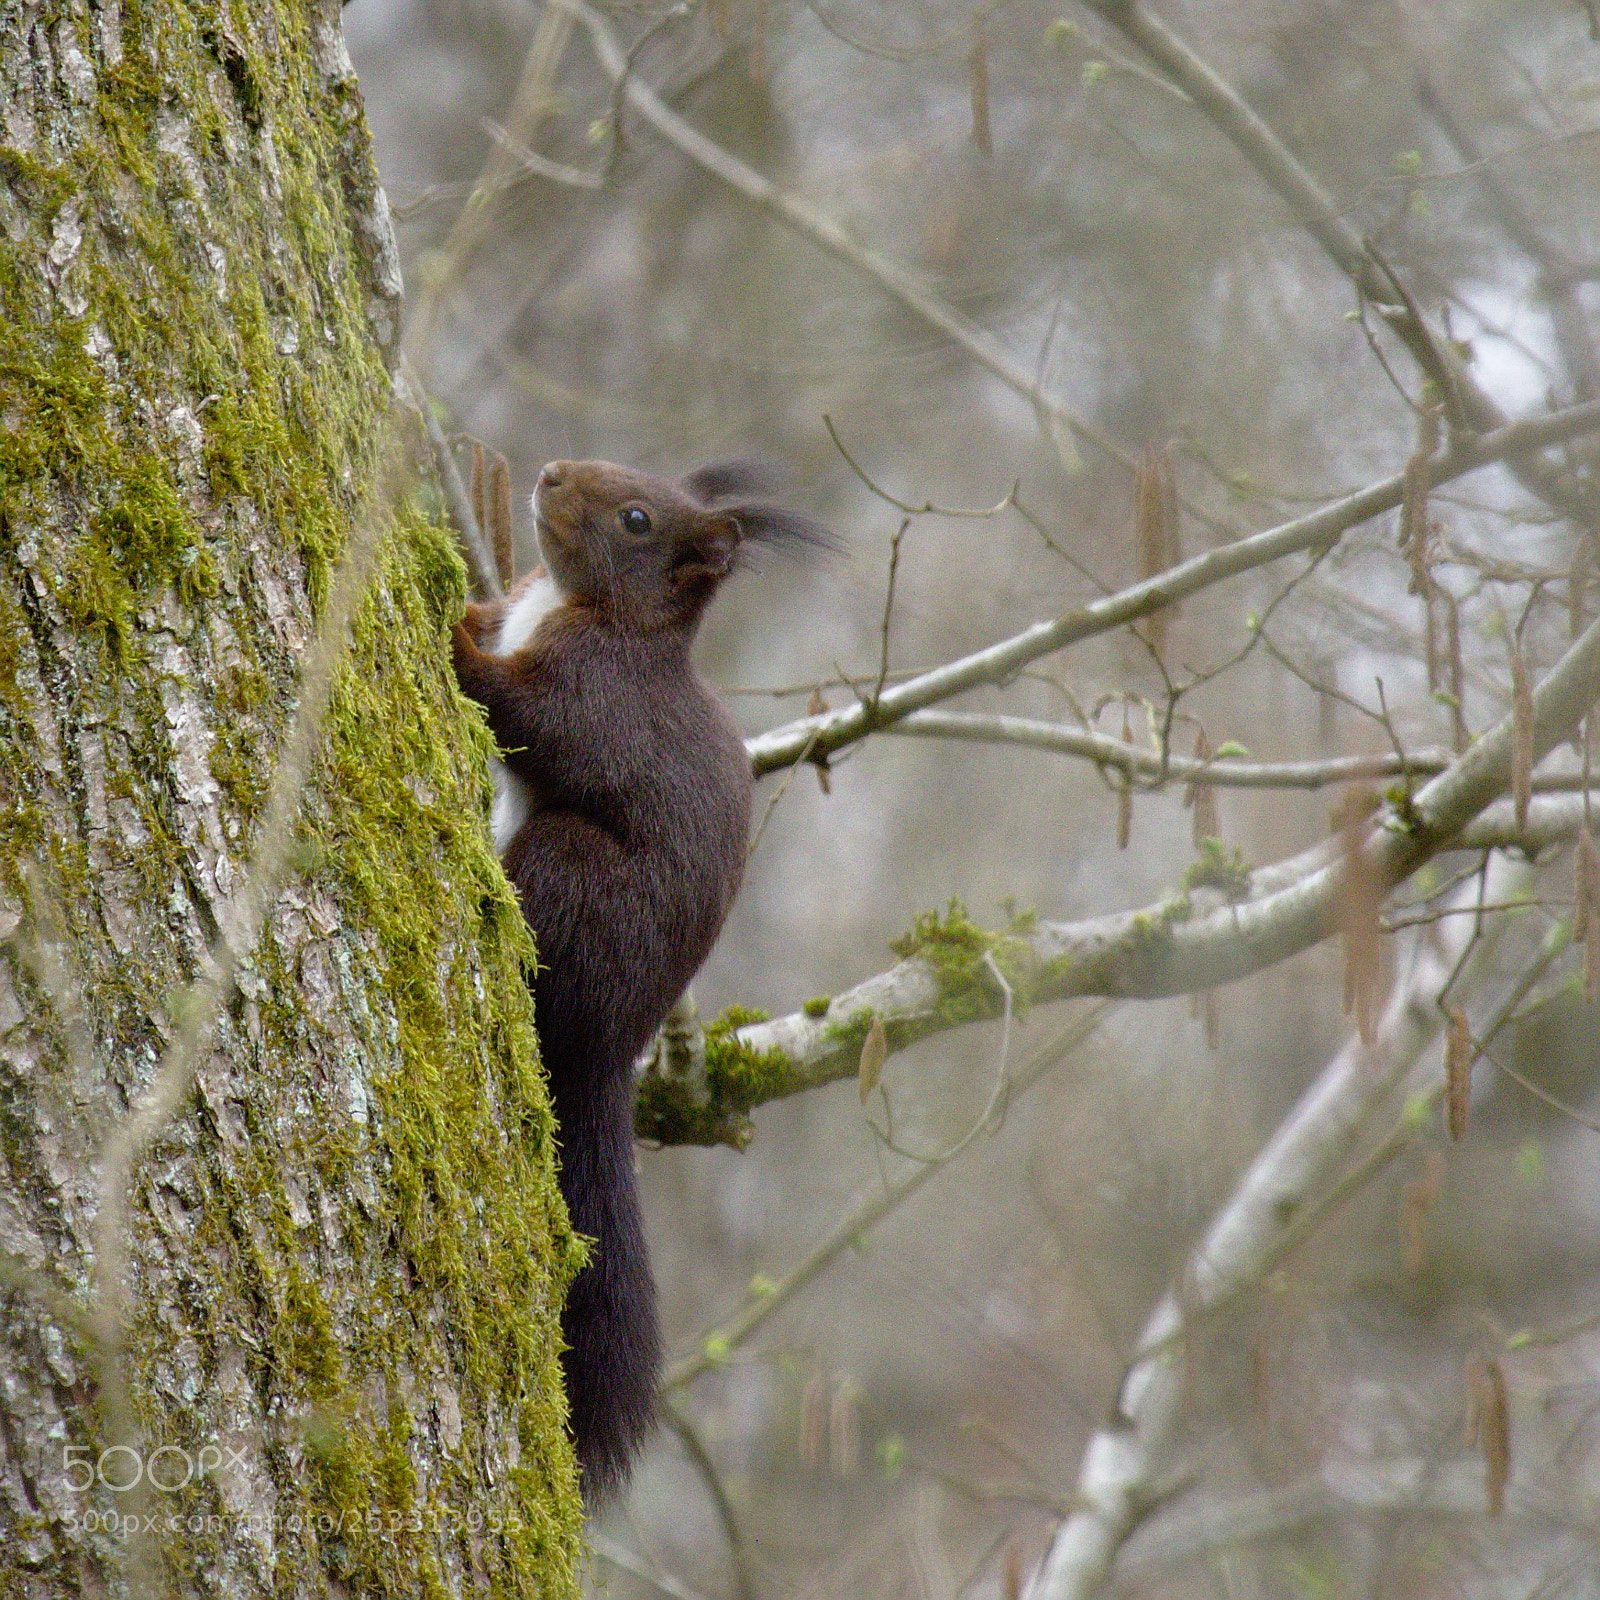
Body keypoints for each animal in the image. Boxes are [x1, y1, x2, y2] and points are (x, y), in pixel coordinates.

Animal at [451, 458, 830, 1503]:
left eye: (634, 519)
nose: (548, 473)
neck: (571, 604)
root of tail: (611, 1049)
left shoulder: (598, 695)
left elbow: (532, 720)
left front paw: (454, 641)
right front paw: (464, 597)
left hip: (571, 871)